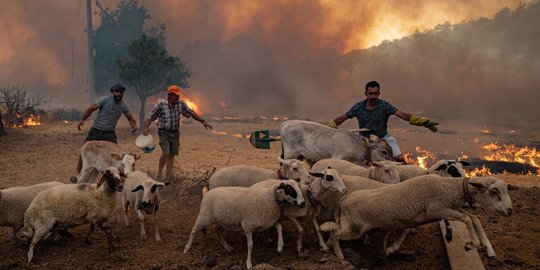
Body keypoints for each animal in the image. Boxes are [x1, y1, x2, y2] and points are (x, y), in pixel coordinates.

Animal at [322, 175, 512, 262]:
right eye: (494, 192)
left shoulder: (442, 210)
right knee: (334, 235)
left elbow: (473, 218)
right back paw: (340, 257)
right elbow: (466, 219)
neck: (449, 188)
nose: (510, 211)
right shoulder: (437, 210)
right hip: (354, 227)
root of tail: (344, 200)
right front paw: (472, 244)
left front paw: (488, 249)